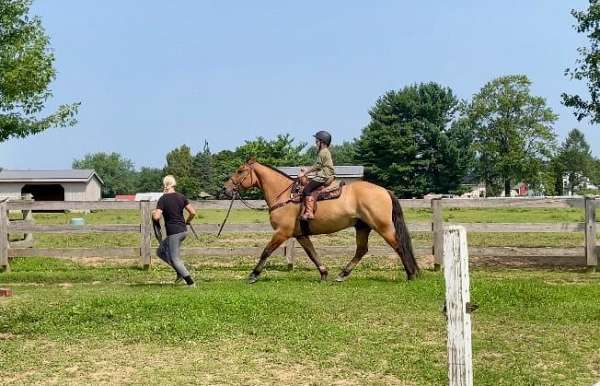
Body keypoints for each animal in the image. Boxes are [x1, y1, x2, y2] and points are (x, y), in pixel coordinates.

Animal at [223, 158, 420, 284]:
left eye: (240, 171)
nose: (225, 188)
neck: (285, 196)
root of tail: (385, 191)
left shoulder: (282, 233)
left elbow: (266, 252)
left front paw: (253, 275)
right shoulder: (300, 235)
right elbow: (312, 254)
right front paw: (324, 273)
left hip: (383, 226)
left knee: (399, 246)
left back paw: (411, 275)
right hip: (362, 227)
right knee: (362, 250)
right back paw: (342, 275)